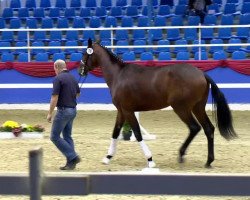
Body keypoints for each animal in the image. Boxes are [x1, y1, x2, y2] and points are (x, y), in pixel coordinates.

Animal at [79, 38, 237, 168]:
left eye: (85, 54)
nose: (81, 70)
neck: (118, 75)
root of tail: (201, 74)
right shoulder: (121, 111)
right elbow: (115, 132)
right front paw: (107, 157)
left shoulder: (128, 111)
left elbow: (137, 134)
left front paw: (150, 160)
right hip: (197, 108)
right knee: (208, 129)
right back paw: (208, 161)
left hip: (181, 108)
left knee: (194, 127)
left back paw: (181, 155)